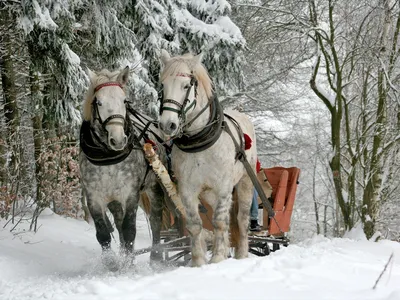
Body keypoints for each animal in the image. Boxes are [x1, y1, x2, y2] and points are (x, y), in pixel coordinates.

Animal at [79, 67, 166, 270]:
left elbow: (129, 230)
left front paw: (128, 264)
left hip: (154, 187)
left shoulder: (130, 194)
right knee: (118, 223)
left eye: (124, 101)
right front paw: (112, 263)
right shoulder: (94, 197)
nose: (118, 140)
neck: (108, 158)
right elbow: (103, 233)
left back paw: (156, 257)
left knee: (155, 220)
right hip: (114, 200)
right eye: (99, 102)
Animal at [158, 50, 258, 266]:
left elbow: (219, 222)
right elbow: (195, 225)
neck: (200, 141)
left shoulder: (223, 187)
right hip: (209, 194)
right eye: (163, 85)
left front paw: (218, 257)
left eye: (186, 86)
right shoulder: (187, 189)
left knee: (241, 219)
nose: (167, 125)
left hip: (245, 182)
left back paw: (241, 254)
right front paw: (198, 262)